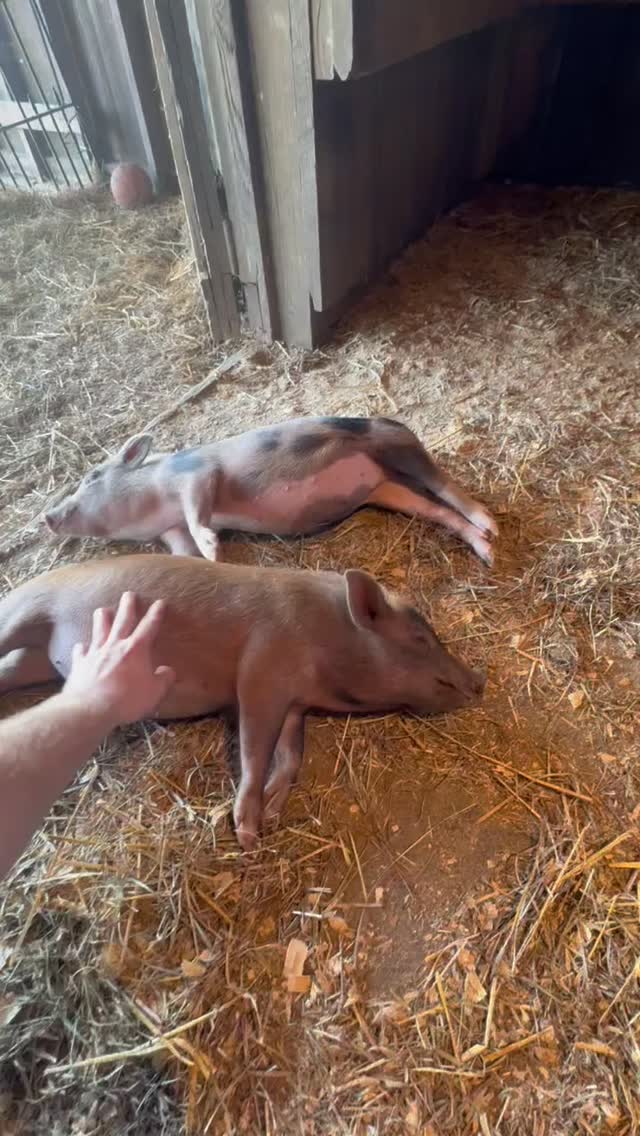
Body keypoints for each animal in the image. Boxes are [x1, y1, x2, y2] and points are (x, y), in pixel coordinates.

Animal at [0, 555, 484, 849]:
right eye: (420, 637)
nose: (480, 680)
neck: (326, 641)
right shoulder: (259, 675)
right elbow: (255, 750)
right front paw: (250, 836)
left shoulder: (294, 704)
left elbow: (291, 755)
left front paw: (271, 811)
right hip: (22, 611)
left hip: (35, 662)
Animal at [44, 416, 498, 563]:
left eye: (92, 477)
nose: (48, 515)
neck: (154, 502)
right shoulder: (169, 531)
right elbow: (183, 550)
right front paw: (210, 560)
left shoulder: (198, 473)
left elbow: (197, 507)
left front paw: (212, 546)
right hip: (387, 490)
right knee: (436, 510)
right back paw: (487, 552)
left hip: (397, 445)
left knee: (447, 486)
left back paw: (491, 526)